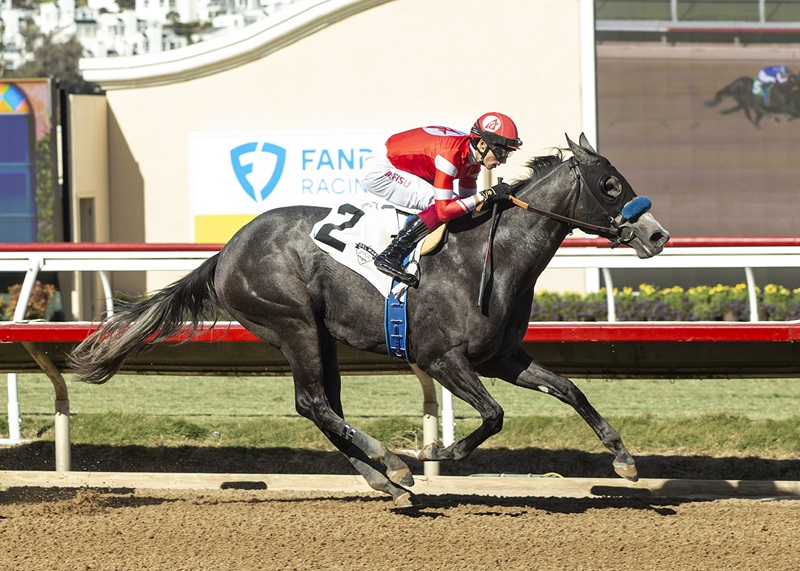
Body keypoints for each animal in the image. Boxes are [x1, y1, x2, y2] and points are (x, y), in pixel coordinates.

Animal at [69, 133, 668, 504]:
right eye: (610, 185)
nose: (657, 233)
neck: (487, 256)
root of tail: (225, 252)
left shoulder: (501, 357)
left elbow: (571, 390)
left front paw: (624, 459)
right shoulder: (441, 358)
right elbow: (494, 415)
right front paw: (438, 451)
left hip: (320, 335)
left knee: (321, 407)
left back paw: (390, 484)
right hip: (293, 324)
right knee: (313, 403)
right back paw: (394, 465)